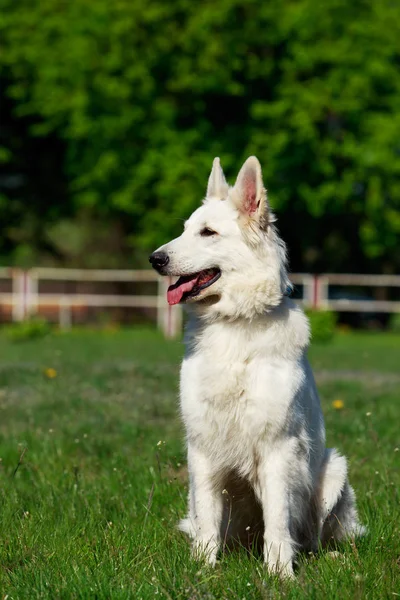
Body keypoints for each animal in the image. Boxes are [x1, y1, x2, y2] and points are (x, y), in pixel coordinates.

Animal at [148, 155, 364, 576]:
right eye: (185, 230)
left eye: (208, 233)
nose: (155, 259)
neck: (234, 324)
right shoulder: (202, 447)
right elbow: (207, 519)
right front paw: (204, 569)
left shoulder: (278, 448)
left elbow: (278, 520)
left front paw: (281, 574)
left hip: (333, 470)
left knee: (313, 537)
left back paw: (324, 556)